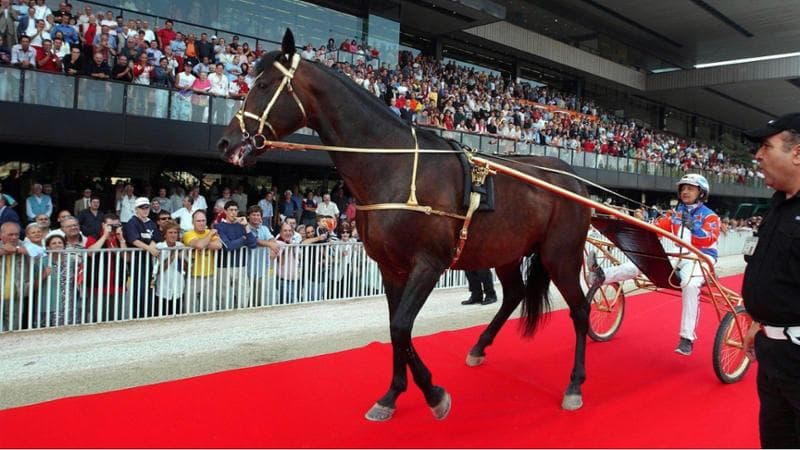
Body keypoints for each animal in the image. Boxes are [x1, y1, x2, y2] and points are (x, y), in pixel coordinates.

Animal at [218, 29, 595, 421]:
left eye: (264, 85)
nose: (227, 142)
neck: (394, 166)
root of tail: (573, 179)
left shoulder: (428, 263)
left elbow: (401, 326)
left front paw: (433, 393)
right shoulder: (391, 267)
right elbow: (397, 327)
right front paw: (394, 394)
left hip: (561, 254)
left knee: (580, 310)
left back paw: (574, 384)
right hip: (506, 250)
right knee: (515, 295)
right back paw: (479, 347)